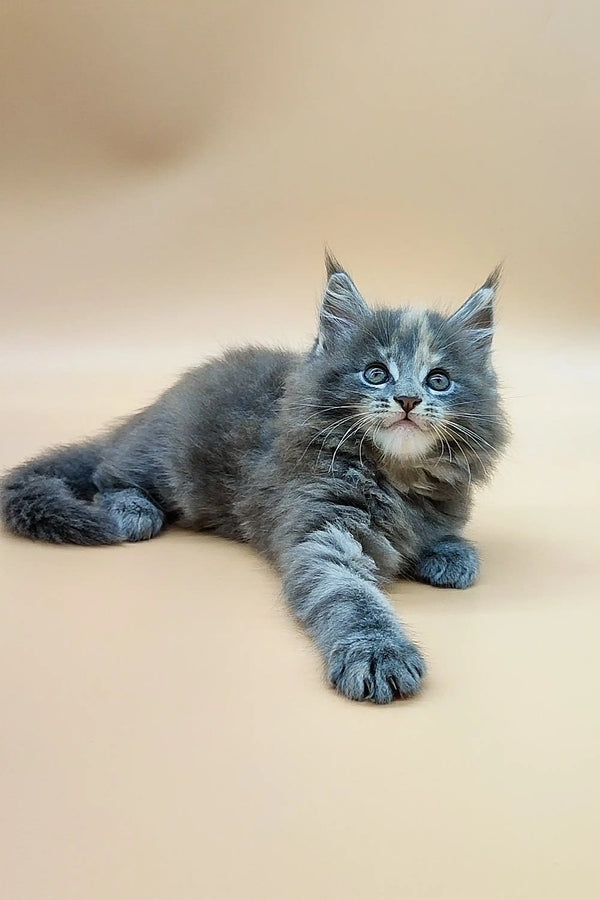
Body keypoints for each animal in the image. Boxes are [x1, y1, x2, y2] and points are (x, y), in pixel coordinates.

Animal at [0, 256, 508, 708]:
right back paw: (133, 510)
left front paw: (450, 554)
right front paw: (378, 653)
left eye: (438, 380)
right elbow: (349, 596)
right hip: (167, 463)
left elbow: (441, 535)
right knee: (108, 471)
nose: (407, 399)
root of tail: (153, 409)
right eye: (376, 374)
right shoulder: (321, 532)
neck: (397, 476)